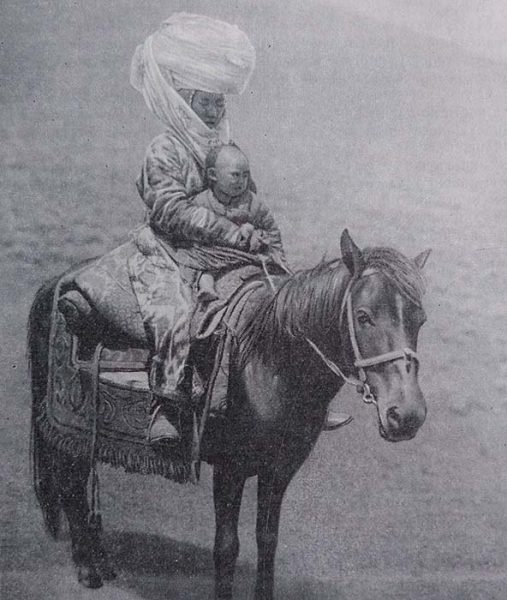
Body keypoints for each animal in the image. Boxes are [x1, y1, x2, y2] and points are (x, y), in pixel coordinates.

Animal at [27, 227, 430, 596]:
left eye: (420, 319)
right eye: (363, 317)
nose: (407, 415)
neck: (269, 360)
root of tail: (52, 285)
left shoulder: (279, 469)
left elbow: (267, 540)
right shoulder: (230, 469)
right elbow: (226, 547)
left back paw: (101, 561)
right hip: (66, 425)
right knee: (70, 484)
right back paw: (87, 568)